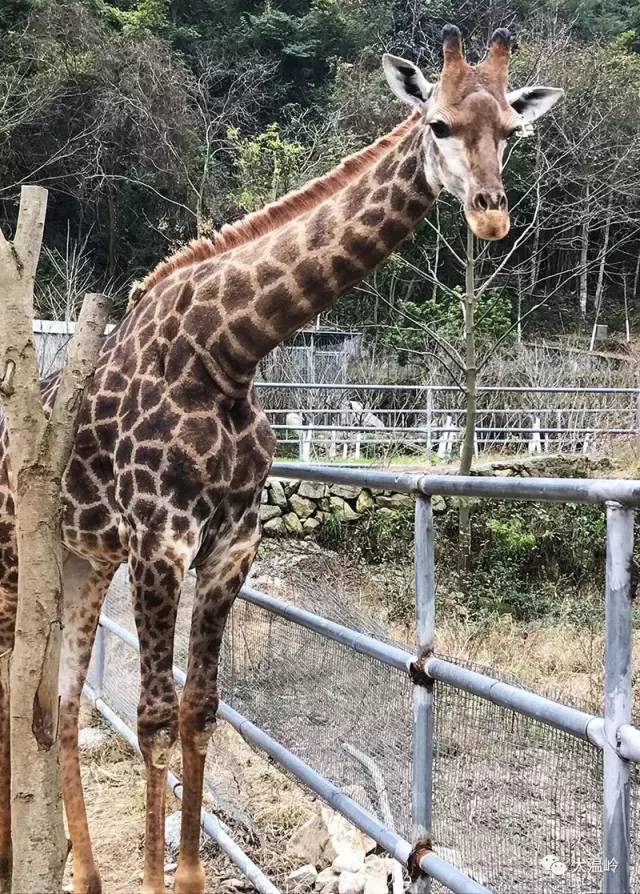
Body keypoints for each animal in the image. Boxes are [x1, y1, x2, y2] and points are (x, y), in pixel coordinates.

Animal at [0, 24, 560, 894]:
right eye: (437, 123)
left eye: (511, 130)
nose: (491, 217)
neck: (225, 353)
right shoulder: (159, 542)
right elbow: (154, 719)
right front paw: (159, 880)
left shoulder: (230, 544)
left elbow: (200, 711)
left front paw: (187, 879)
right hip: (13, 551)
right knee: (9, 698)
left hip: (76, 557)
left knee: (55, 703)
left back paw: (81, 874)